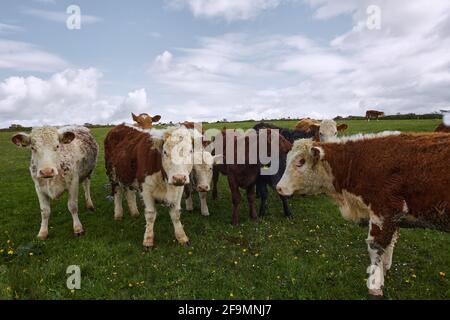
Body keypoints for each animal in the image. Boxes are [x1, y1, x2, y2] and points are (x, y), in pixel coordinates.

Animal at [276, 131, 450, 298]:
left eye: (300, 162)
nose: (279, 187)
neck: (358, 162)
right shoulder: (393, 218)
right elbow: (390, 243)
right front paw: (384, 270)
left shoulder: (383, 211)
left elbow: (375, 247)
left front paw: (375, 285)